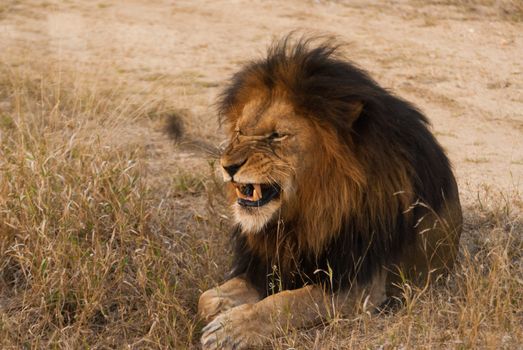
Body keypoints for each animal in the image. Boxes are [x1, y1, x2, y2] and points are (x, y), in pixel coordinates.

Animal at [198, 37, 462, 348]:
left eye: (277, 135)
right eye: (240, 132)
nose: (227, 166)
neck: (308, 212)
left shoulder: (360, 286)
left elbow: (286, 302)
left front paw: (232, 328)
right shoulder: (268, 264)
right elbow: (206, 299)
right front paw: (222, 309)